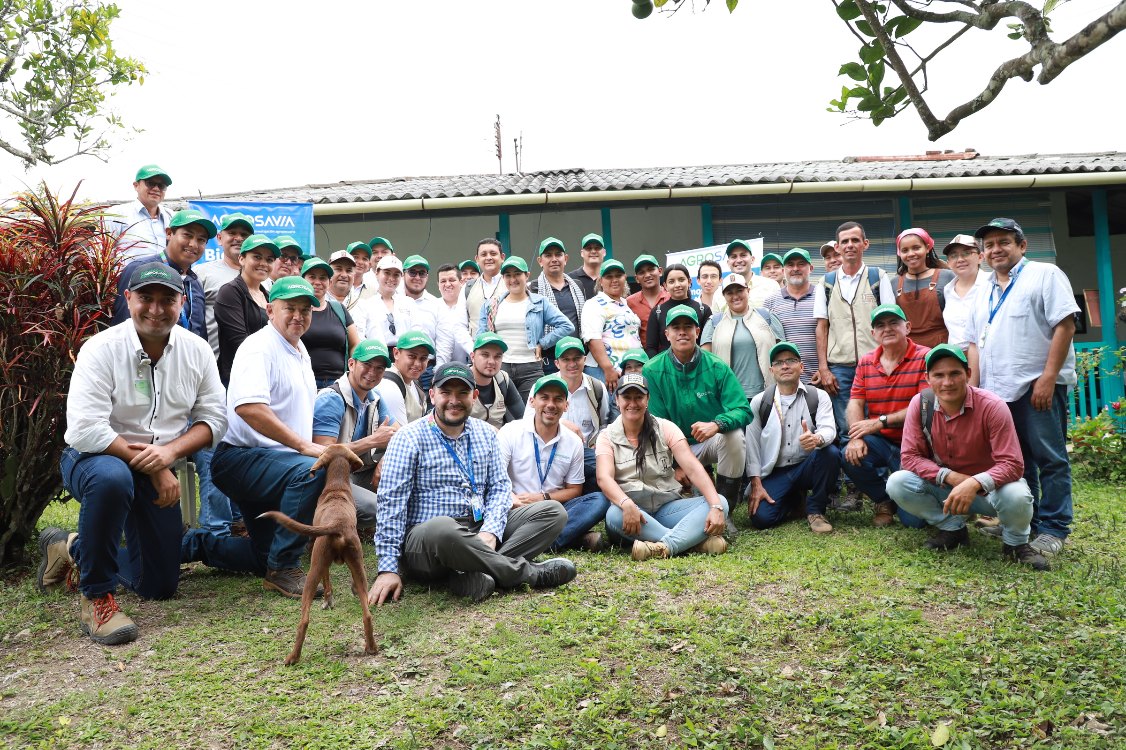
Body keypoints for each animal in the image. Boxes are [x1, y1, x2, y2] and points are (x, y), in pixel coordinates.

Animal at [257, 441, 378, 662]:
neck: (337, 488)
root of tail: (338, 525)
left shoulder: (320, 559)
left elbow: (327, 582)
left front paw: (327, 602)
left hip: (313, 569)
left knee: (304, 620)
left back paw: (293, 657)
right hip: (357, 562)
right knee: (367, 614)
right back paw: (371, 647)